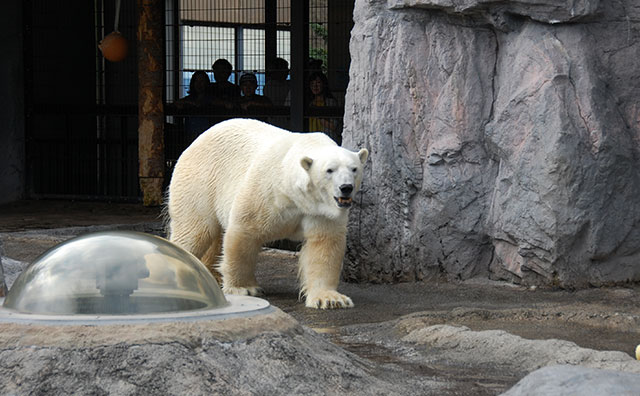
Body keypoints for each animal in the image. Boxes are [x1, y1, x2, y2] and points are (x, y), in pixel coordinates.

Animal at [166, 117, 370, 310]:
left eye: (354, 169)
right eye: (329, 170)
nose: (346, 187)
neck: (293, 193)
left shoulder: (320, 210)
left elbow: (324, 244)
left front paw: (330, 299)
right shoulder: (267, 191)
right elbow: (244, 231)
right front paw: (244, 288)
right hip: (201, 182)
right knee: (194, 231)